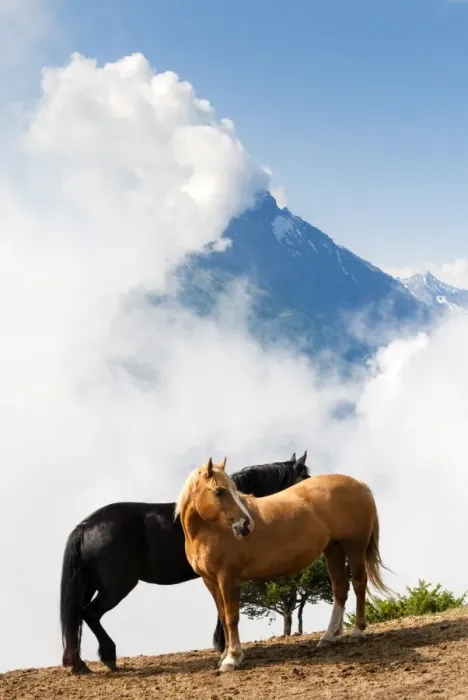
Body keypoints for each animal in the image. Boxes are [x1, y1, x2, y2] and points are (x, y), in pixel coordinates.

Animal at [60, 451, 310, 674]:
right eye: (305, 477)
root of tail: (86, 526)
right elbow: (225, 612)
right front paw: (224, 647)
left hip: (90, 586)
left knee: (77, 618)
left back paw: (79, 664)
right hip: (116, 588)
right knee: (90, 614)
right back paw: (108, 657)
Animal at [175, 458, 392, 673]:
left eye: (235, 489)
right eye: (219, 491)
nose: (246, 525)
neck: (208, 532)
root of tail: (359, 485)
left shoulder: (228, 578)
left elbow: (231, 617)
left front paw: (233, 658)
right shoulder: (211, 581)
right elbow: (222, 616)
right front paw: (224, 656)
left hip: (355, 548)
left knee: (359, 584)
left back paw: (357, 632)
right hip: (334, 549)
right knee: (340, 588)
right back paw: (328, 637)